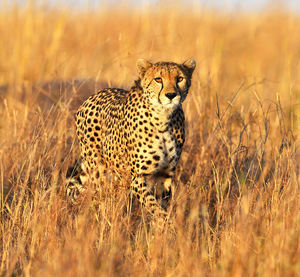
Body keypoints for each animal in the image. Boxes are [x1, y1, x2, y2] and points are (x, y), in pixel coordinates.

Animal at [68, 57, 196, 222]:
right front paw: (168, 225)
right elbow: (154, 207)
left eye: (180, 79)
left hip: (119, 174)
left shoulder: (165, 174)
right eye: (158, 79)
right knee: (98, 198)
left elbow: (160, 206)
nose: (171, 95)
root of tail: (92, 96)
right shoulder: (138, 177)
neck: (163, 118)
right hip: (99, 170)